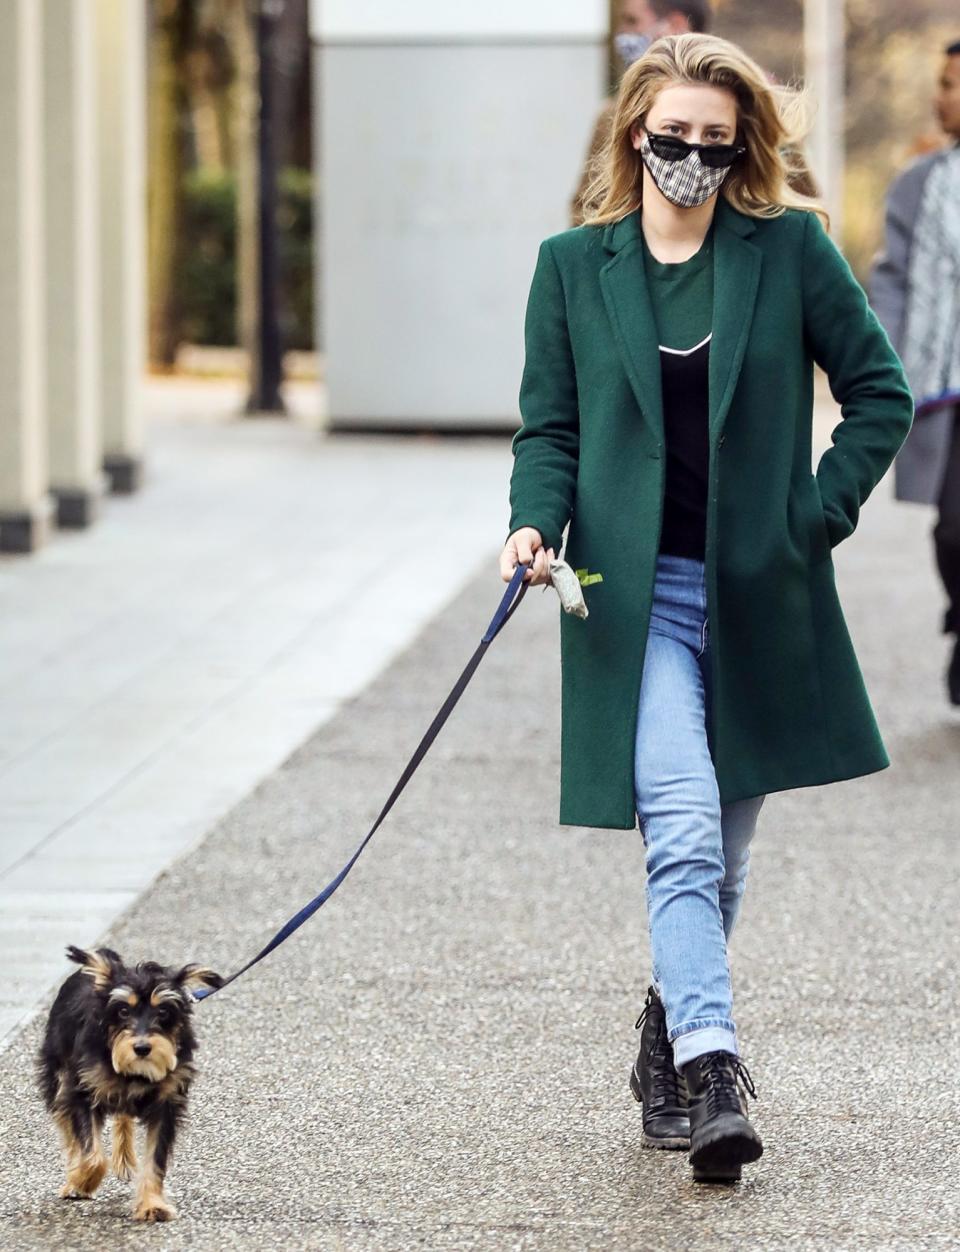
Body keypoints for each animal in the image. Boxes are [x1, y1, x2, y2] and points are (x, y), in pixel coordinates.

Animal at [37, 941, 221, 1216]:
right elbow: (92, 1154)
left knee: (123, 1117)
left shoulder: (166, 1105)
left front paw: (152, 1204)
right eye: (123, 1010)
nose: (142, 1048)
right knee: (70, 1132)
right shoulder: (80, 1092)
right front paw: (81, 1181)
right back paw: (73, 1175)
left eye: (163, 1011)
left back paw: (123, 1160)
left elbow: (155, 1160)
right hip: (58, 1074)